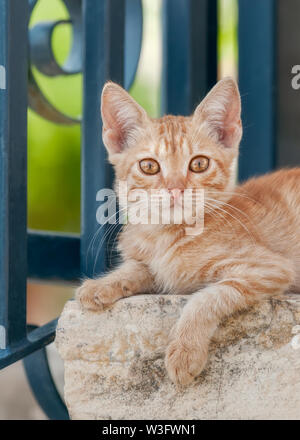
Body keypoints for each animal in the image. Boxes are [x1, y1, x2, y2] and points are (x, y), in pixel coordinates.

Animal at [76, 78, 296, 384]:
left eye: (199, 164)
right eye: (149, 166)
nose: (175, 188)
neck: (167, 237)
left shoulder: (269, 268)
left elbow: (207, 297)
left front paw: (185, 350)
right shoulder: (154, 266)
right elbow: (137, 268)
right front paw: (103, 284)